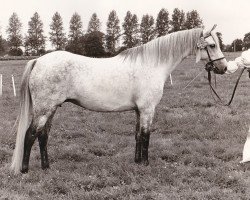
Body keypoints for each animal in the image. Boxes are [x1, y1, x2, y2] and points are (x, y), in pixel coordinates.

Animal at [10, 26, 228, 173]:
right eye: (211, 45)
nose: (223, 68)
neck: (152, 64)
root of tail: (39, 61)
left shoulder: (139, 110)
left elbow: (138, 135)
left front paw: (137, 161)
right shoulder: (148, 109)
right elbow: (146, 136)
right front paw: (146, 164)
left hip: (51, 109)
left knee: (43, 136)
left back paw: (46, 167)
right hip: (44, 109)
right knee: (30, 135)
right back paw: (25, 169)